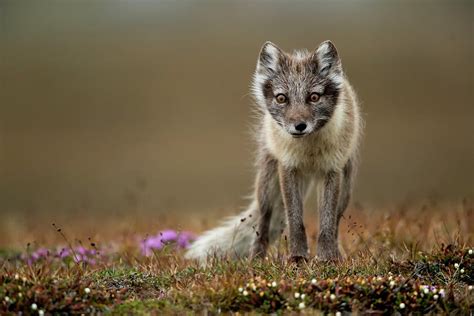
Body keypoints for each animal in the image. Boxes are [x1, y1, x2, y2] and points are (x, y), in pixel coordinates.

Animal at [185, 40, 362, 262]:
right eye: (281, 98)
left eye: (314, 97)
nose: (299, 126)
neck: (309, 152)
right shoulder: (288, 168)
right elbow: (295, 221)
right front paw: (297, 258)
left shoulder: (331, 170)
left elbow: (327, 223)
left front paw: (326, 259)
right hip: (267, 187)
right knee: (263, 222)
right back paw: (256, 258)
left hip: (345, 190)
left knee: (336, 219)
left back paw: (337, 254)